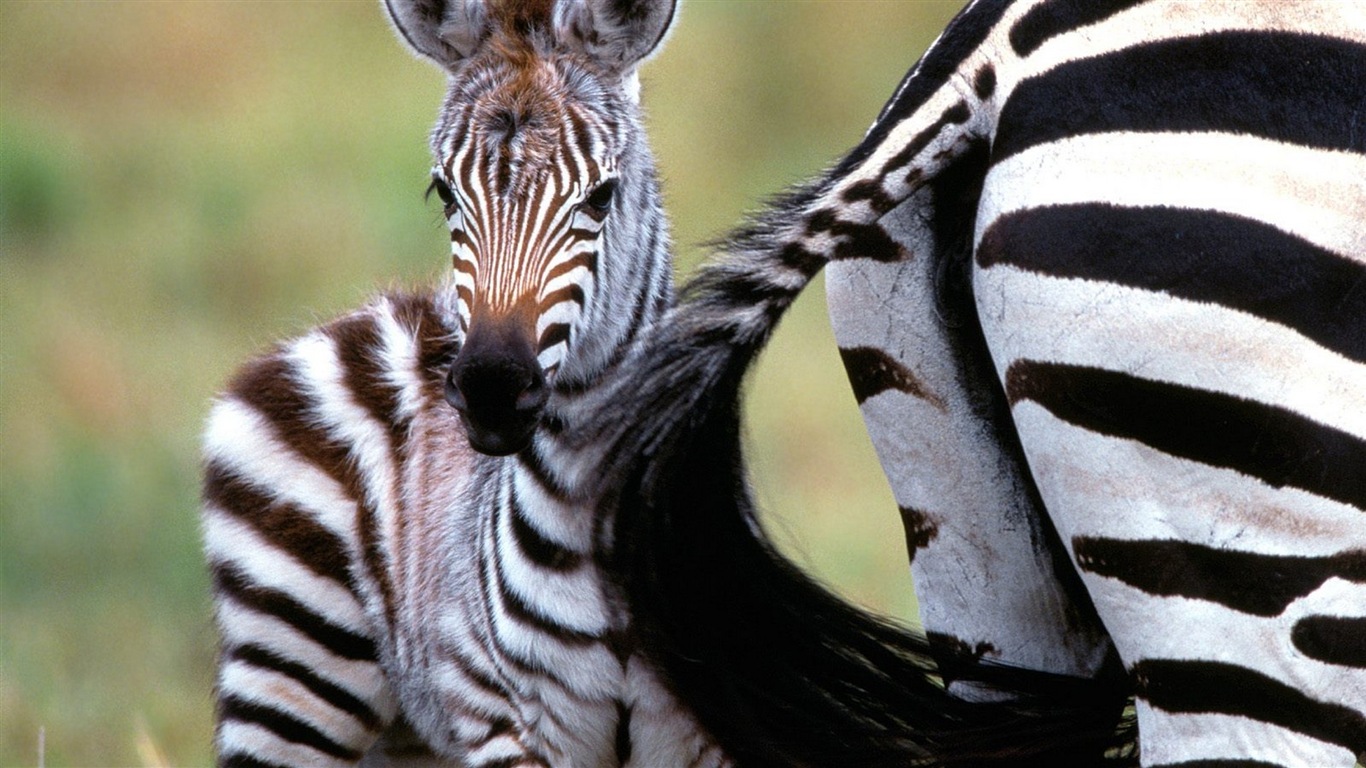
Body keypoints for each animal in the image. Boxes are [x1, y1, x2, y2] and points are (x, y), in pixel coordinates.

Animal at [198, 1, 1131, 765]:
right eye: (444, 195)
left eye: (602, 196)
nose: (491, 387)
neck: (587, 528)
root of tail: (377, 317)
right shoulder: (508, 729)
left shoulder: (697, 734)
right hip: (294, 675)